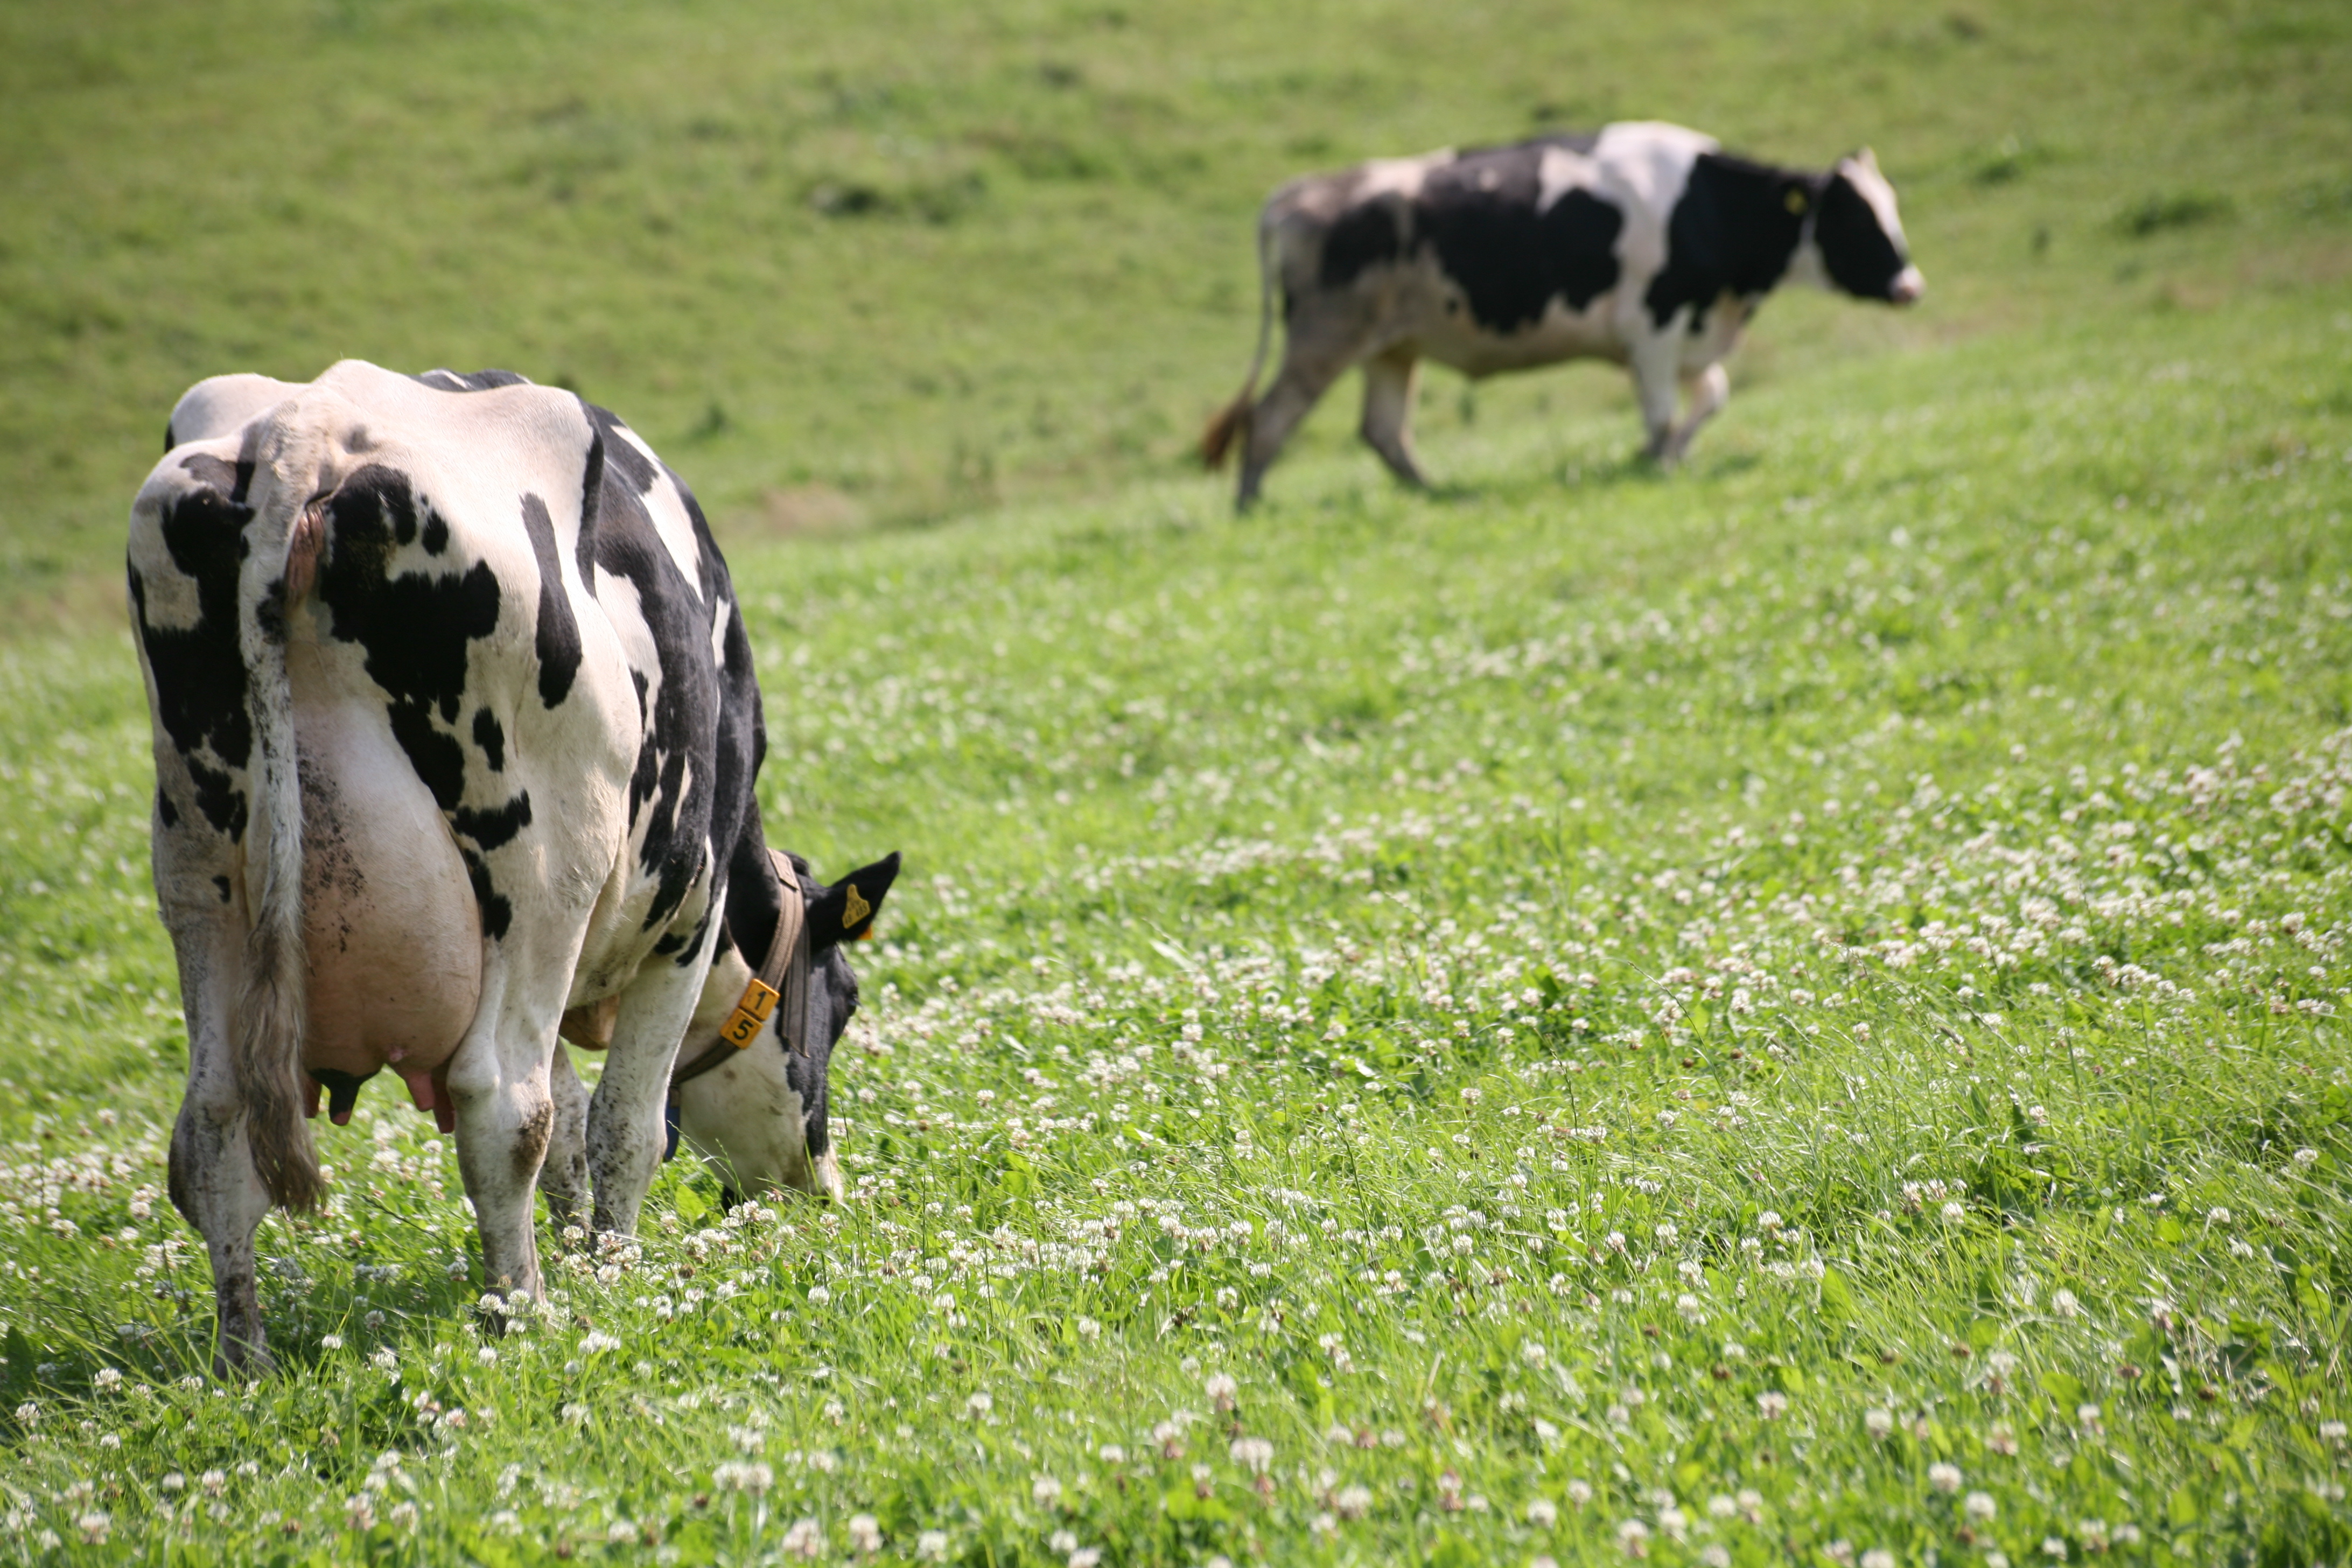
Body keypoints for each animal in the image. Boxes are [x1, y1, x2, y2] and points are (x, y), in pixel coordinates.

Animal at [130, 360, 898, 1372]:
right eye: (842, 1003)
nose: (815, 1187)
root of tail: (310, 429)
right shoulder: (685, 914)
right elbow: (620, 1124)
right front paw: (611, 1265)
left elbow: (572, 1125)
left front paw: (573, 1248)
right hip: (537, 878)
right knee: (503, 1104)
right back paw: (521, 1311)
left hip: (203, 873)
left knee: (213, 1127)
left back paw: (244, 1358)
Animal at [1200, 121, 1923, 508]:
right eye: (1857, 217)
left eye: (1892, 207)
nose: (1911, 286)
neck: (1704, 205)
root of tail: (1297, 194)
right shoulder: (1652, 326)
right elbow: (1664, 411)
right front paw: (1658, 463)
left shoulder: (1690, 328)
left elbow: (1711, 397)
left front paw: (1666, 455)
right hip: (1325, 334)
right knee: (1270, 418)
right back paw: (1250, 505)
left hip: (1391, 345)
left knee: (1383, 432)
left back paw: (1437, 493)